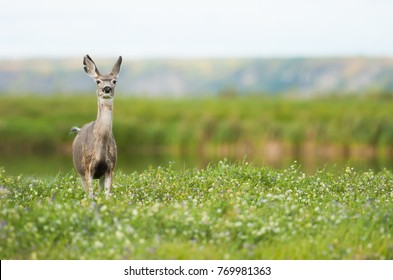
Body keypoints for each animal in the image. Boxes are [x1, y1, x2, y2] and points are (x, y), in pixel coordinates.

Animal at [70, 54, 121, 198]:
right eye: (98, 81)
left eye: (114, 81)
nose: (107, 89)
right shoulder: (88, 168)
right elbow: (91, 195)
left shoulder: (110, 167)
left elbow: (107, 195)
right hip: (79, 170)